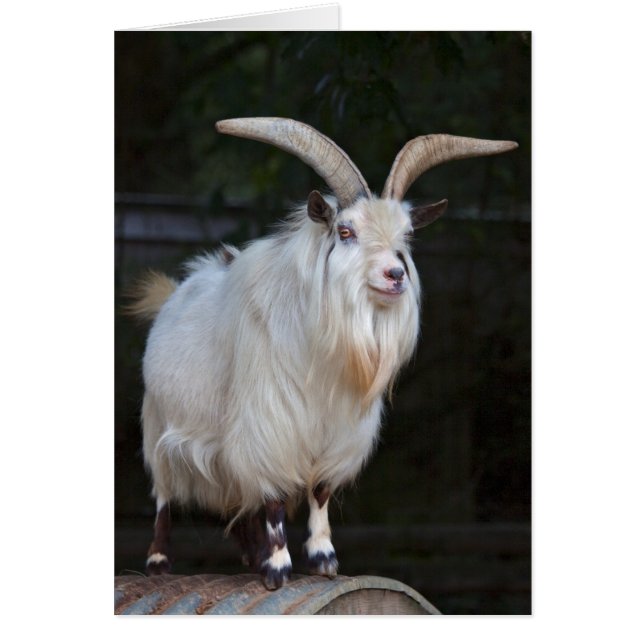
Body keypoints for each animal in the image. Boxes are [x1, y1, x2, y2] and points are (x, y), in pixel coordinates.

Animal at [130, 117, 517, 589]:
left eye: (406, 236)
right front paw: (278, 568)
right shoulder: (270, 425)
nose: (396, 274)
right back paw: (159, 562)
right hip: (159, 426)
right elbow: (275, 497)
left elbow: (319, 492)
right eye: (346, 232)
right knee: (164, 496)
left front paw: (323, 560)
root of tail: (177, 289)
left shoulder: (339, 432)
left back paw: (250, 556)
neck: (321, 353)